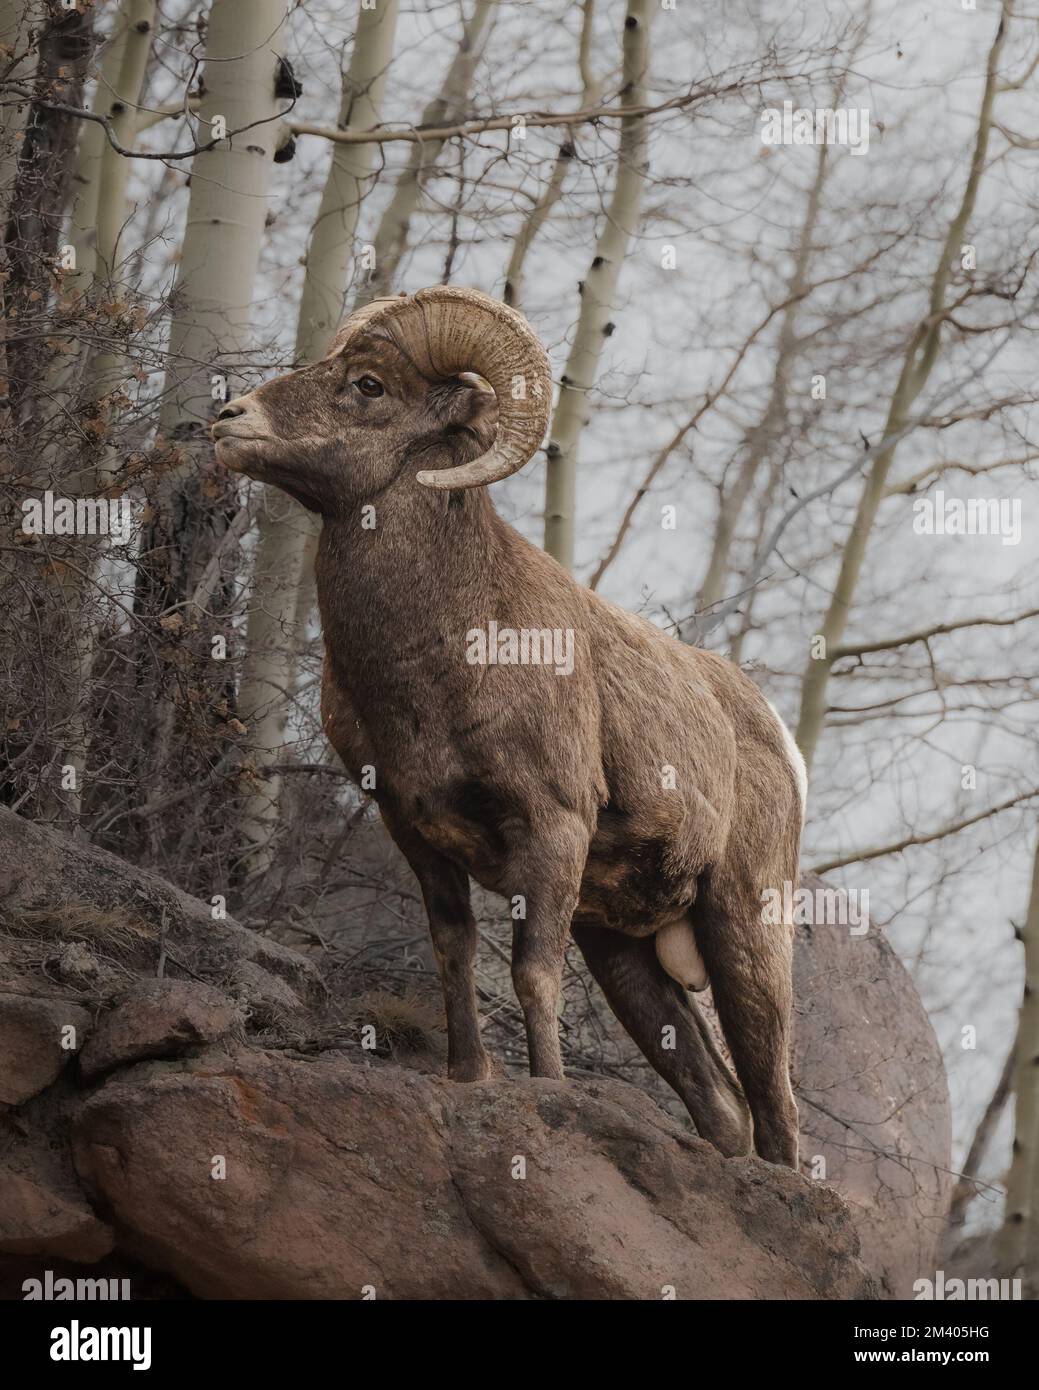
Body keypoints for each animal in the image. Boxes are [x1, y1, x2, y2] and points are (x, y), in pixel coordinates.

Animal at [212, 287, 806, 1167]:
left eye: (368, 384)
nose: (228, 417)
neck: (445, 654)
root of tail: (773, 737)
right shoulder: (414, 830)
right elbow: (453, 951)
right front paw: (467, 1076)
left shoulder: (551, 831)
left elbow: (532, 973)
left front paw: (548, 1090)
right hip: (624, 950)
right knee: (721, 1108)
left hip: (744, 931)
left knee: (775, 1109)